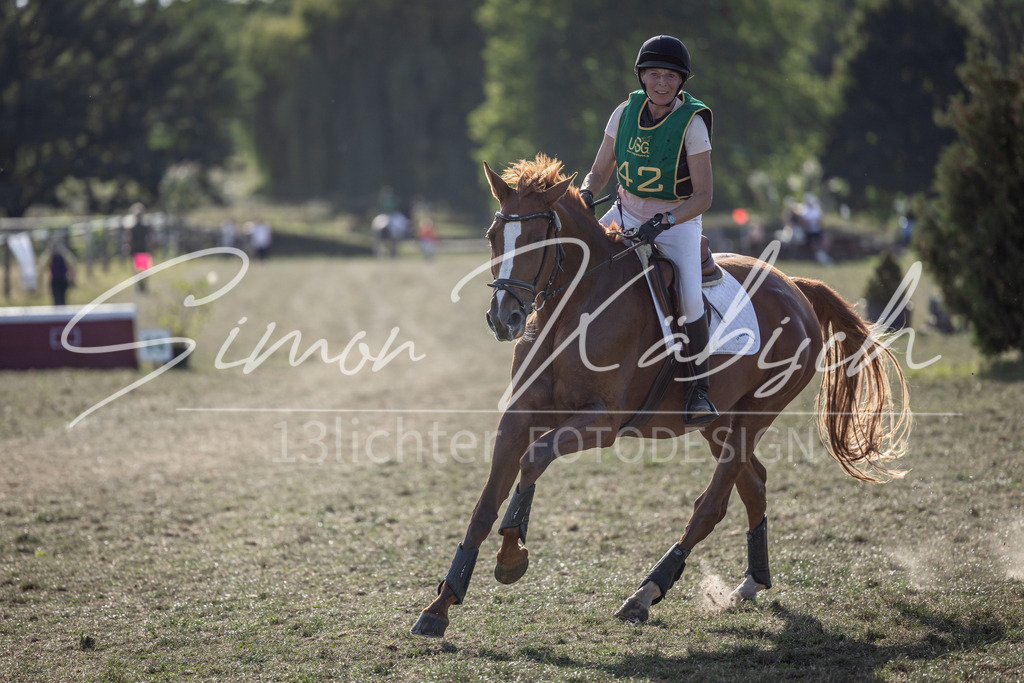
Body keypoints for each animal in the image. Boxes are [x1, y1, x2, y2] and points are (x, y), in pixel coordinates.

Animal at [411, 154, 910, 638]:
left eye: (537, 239)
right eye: (495, 236)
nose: (505, 318)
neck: (571, 310)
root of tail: (794, 285)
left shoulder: (603, 422)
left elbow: (534, 459)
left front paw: (512, 556)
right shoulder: (519, 415)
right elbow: (485, 504)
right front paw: (440, 605)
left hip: (756, 414)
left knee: (712, 505)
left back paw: (646, 592)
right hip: (719, 422)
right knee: (753, 483)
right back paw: (751, 583)